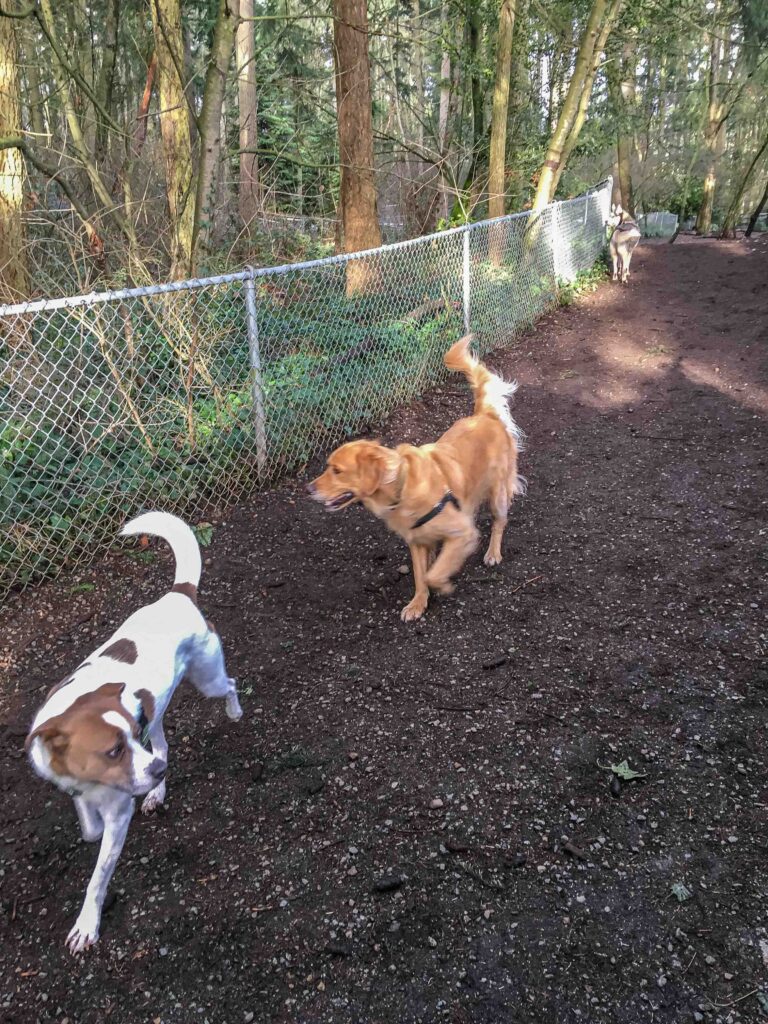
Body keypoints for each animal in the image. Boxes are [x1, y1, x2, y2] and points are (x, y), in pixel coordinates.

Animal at [24, 516, 240, 954]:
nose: (154, 774)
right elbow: (88, 824)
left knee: (229, 685)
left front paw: (86, 926)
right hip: (156, 717)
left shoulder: (119, 812)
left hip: (206, 679)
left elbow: (97, 878)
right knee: (164, 746)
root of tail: (179, 595)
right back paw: (158, 790)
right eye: (112, 751)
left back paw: (233, 712)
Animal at [309, 339, 528, 618]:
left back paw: (492, 552)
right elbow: (420, 574)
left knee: (500, 521)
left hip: (497, 494)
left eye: (337, 470)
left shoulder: (462, 531)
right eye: (328, 467)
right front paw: (417, 603)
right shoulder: (416, 541)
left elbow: (432, 574)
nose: (308, 488)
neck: (402, 486)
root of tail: (484, 415)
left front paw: (442, 584)